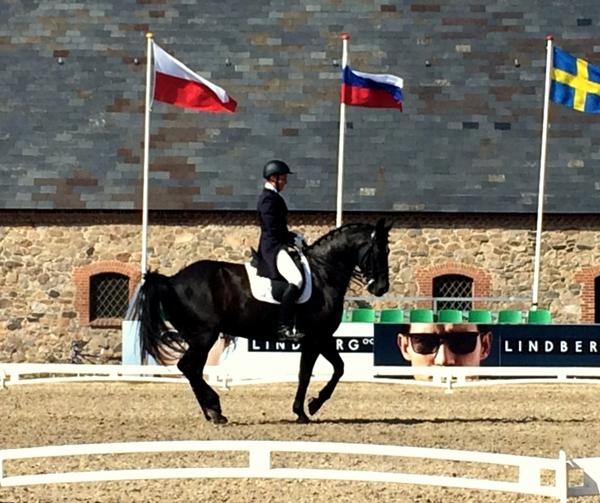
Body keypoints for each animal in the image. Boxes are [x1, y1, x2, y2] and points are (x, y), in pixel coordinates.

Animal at [134, 219, 392, 424]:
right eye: (380, 250)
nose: (381, 288)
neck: (324, 272)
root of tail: (172, 280)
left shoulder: (323, 337)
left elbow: (337, 368)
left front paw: (312, 404)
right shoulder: (315, 338)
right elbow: (309, 373)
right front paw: (305, 410)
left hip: (198, 337)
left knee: (193, 370)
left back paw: (212, 411)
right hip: (203, 336)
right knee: (188, 367)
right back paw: (215, 410)